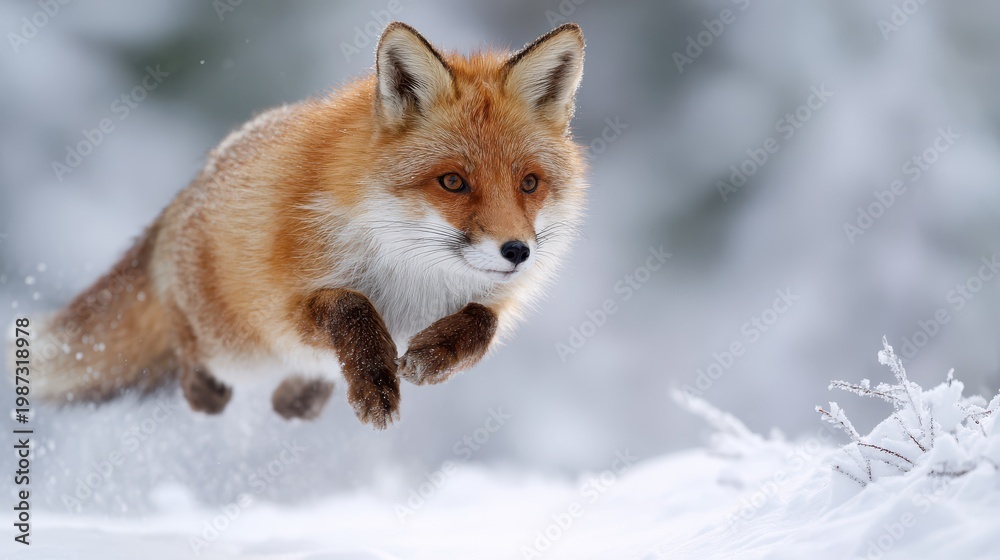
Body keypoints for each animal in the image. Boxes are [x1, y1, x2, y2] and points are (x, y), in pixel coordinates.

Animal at [29, 22, 587, 429]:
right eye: (452, 181)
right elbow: (353, 307)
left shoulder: (494, 300)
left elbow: (481, 325)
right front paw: (376, 386)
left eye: (529, 183)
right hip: (233, 344)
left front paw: (431, 356)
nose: (517, 251)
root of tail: (197, 180)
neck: (413, 275)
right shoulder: (287, 305)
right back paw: (206, 390)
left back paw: (299, 400)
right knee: (184, 336)